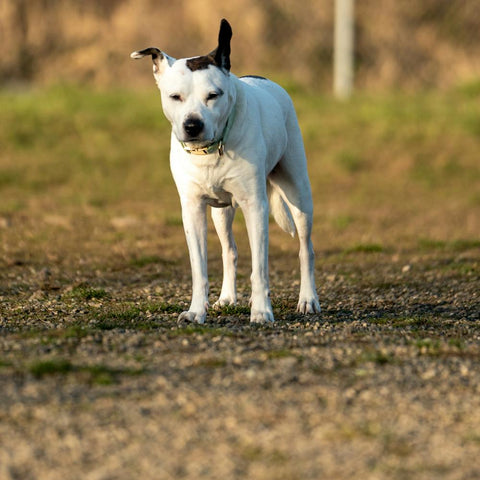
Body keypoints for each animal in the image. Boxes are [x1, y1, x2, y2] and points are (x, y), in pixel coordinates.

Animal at [131, 18, 318, 322]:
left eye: (213, 96)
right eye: (175, 97)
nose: (192, 125)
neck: (210, 150)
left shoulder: (256, 206)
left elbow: (260, 269)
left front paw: (261, 311)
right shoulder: (192, 209)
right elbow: (199, 269)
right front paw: (196, 311)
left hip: (299, 193)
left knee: (306, 249)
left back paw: (308, 299)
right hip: (221, 212)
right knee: (229, 250)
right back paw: (227, 297)